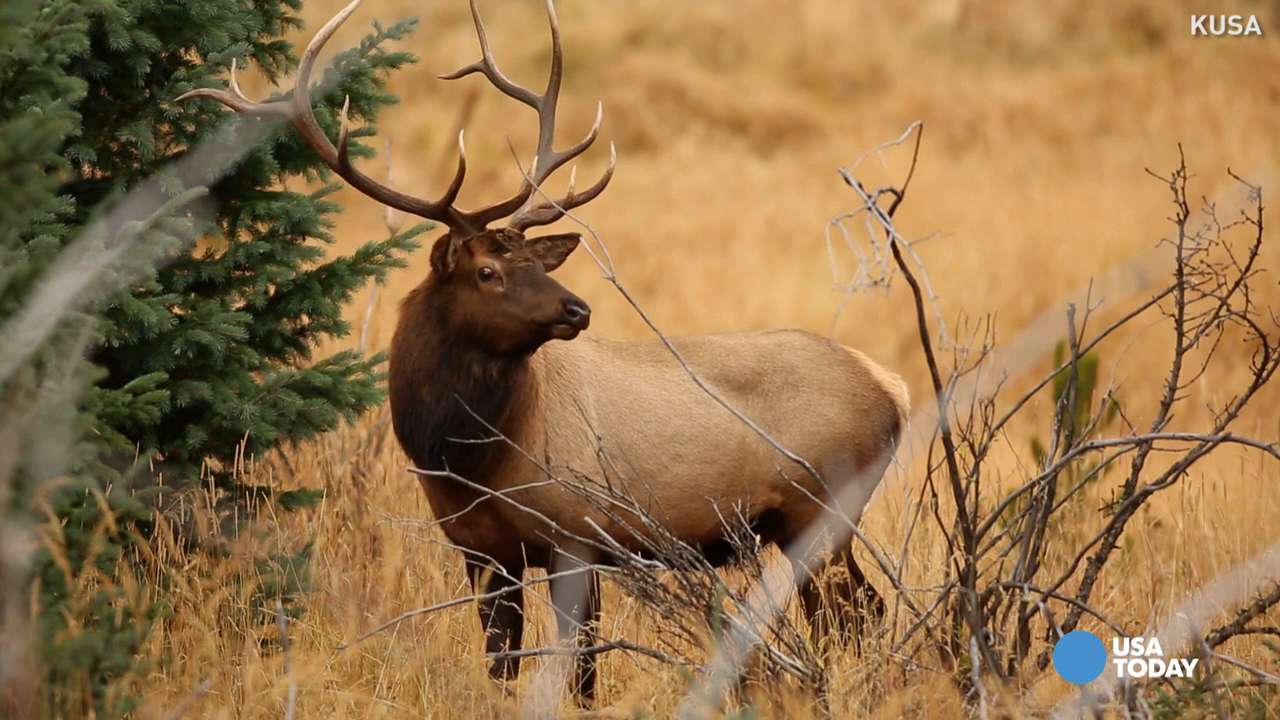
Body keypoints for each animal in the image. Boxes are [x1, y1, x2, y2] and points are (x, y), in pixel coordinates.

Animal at [183, 0, 911, 702]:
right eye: (488, 272)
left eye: (534, 259)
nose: (577, 308)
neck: (470, 457)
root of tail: (894, 387)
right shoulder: (482, 552)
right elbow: (503, 666)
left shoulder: (579, 533)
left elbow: (581, 671)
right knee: (861, 614)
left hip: (823, 508)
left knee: (857, 618)